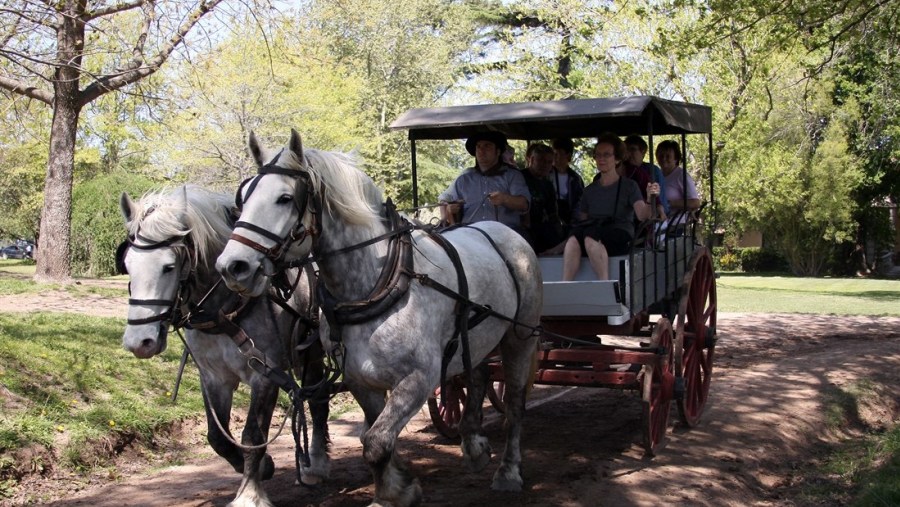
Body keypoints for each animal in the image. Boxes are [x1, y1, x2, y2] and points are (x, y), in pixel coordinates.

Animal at [119, 186, 330, 507]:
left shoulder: (265, 374)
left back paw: (316, 462)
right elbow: (217, 437)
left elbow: (253, 435)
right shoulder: (213, 377)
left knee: (318, 401)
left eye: (169, 267)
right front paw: (263, 466)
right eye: (128, 264)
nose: (139, 342)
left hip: (314, 352)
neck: (227, 308)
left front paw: (250, 494)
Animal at [218, 132, 540, 507]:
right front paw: (396, 487)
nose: (232, 266)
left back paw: (509, 471)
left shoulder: (419, 378)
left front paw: (392, 492)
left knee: (514, 403)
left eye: (284, 198)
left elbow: (375, 442)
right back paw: (473, 445)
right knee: (477, 376)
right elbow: (374, 437)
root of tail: (502, 230)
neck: (377, 283)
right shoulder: (361, 379)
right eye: (243, 199)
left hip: (520, 337)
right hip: (474, 338)